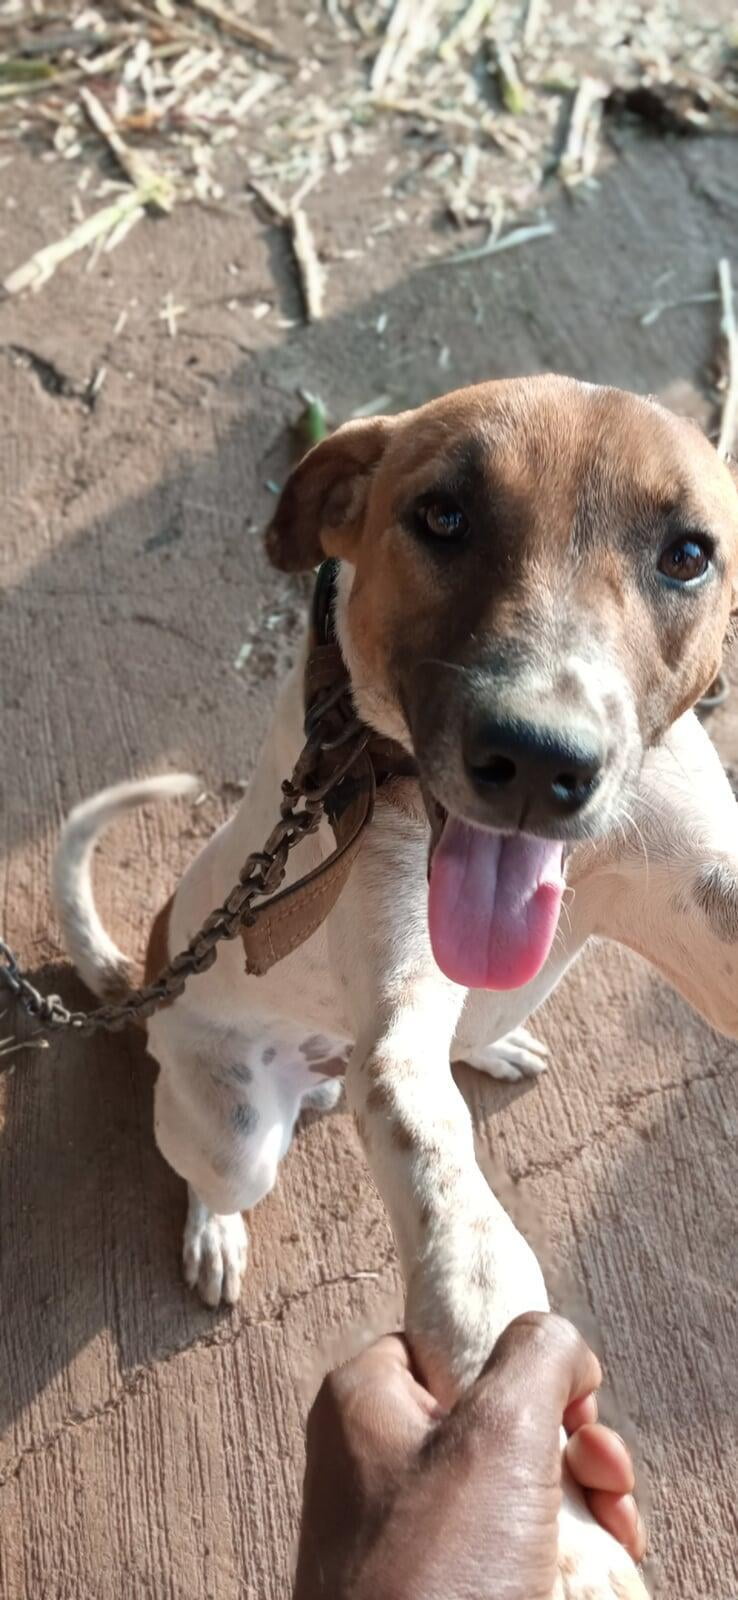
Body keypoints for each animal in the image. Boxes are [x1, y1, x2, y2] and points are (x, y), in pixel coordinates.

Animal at [54, 376, 738, 1596]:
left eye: (688, 554)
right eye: (443, 516)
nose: (537, 763)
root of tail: (152, 969)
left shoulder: (702, 889)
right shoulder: (395, 1038)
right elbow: (464, 1237)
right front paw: (557, 1525)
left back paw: (496, 1042)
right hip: (234, 1121)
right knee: (213, 1170)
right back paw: (216, 1232)